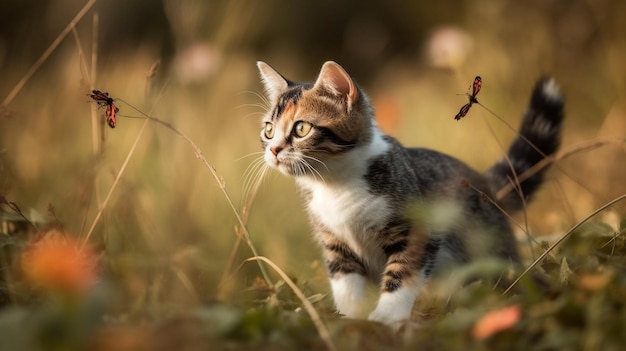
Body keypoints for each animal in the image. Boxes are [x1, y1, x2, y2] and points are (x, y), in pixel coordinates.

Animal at [252, 60, 560, 328]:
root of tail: (483, 182)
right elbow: (346, 284)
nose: (274, 150)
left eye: (301, 128)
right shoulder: (334, 242)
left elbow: (403, 272)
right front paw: (350, 319)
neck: (335, 186)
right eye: (268, 130)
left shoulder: (418, 230)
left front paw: (386, 317)